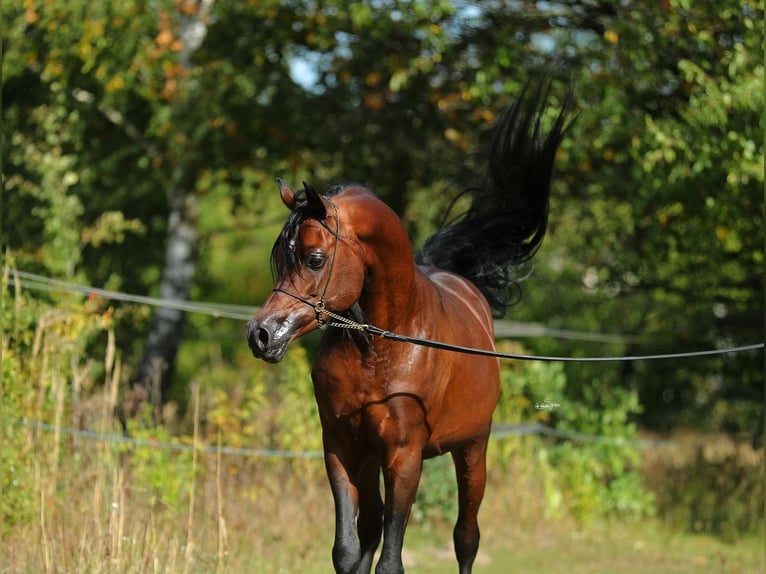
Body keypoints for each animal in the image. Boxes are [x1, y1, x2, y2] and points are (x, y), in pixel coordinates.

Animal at [246, 77, 572, 574]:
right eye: (280, 258)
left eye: (314, 258)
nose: (261, 335)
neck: (381, 349)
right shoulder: (342, 447)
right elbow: (348, 550)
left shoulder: (404, 456)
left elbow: (391, 559)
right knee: (371, 528)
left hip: (473, 449)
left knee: (466, 537)